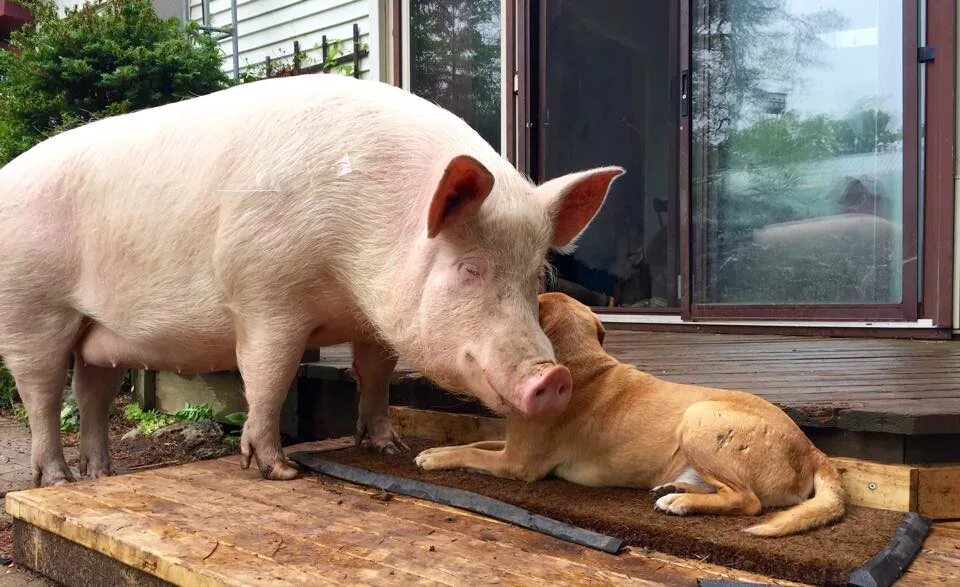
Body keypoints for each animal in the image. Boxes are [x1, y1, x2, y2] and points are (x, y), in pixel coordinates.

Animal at [0, 74, 624, 486]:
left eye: (535, 274)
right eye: (469, 268)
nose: (553, 378)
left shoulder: (371, 320)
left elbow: (376, 378)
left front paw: (389, 448)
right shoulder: (264, 296)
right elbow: (268, 377)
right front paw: (279, 470)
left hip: (96, 331)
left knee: (92, 392)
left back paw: (98, 476)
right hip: (30, 310)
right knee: (41, 395)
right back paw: (56, 480)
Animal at [416, 292, 844, 536]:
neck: (580, 362)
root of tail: (812, 449)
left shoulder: (517, 463)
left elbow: (472, 453)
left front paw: (437, 458)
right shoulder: (511, 446)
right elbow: (478, 441)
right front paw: (436, 450)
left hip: (700, 417)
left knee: (749, 501)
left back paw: (681, 503)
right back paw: (676, 490)